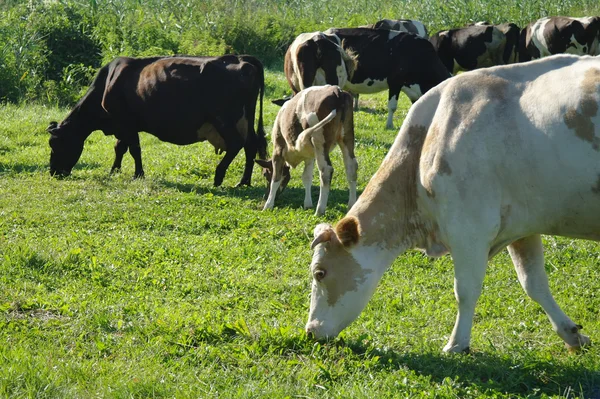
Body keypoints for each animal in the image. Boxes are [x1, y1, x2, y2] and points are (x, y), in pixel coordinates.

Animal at [48, 53, 268, 188]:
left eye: (55, 144)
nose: (53, 172)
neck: (108, 82)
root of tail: (240, 58)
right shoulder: (123, 125)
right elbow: (120, 148)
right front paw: (114, 171)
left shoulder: (126, 123)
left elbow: (134, 149)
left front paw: (138, 174)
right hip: (245, 119)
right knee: (251, 144)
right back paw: (244, 181)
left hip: (225, 118)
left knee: (236, 144)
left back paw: (219, 175)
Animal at [254, 84, 356, 216]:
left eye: (265, 174)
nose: (265, 196)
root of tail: (336, 90)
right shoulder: (310, 156)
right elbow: (306, 177)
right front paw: (307, 204)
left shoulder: (278, 149)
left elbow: (276, 178)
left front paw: (268, 205)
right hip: (346, 137)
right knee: (351, 168)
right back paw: (351, 206)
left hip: (319, 142)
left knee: (326, 170)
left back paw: (319, 210)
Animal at [304, 54, 600, 354]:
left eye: (320, 273)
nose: (310, 331)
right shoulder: (523, 227)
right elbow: (534, 283)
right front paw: (571, 334)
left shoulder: (469, 228)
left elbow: (465, 290)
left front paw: (457, 343)